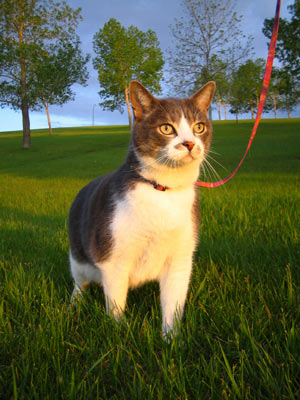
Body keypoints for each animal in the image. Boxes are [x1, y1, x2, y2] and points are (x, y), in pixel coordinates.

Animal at [68, 80, 216, 338]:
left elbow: (173, 304)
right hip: (78, 255)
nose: (189, 143)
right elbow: (116, 304)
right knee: (79, 283)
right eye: (166, 128)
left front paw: (172, 340)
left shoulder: (181, 258)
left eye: (199, 127)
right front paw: (120, 334)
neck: (163, 192)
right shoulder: (113, 257)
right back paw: (74, 305)